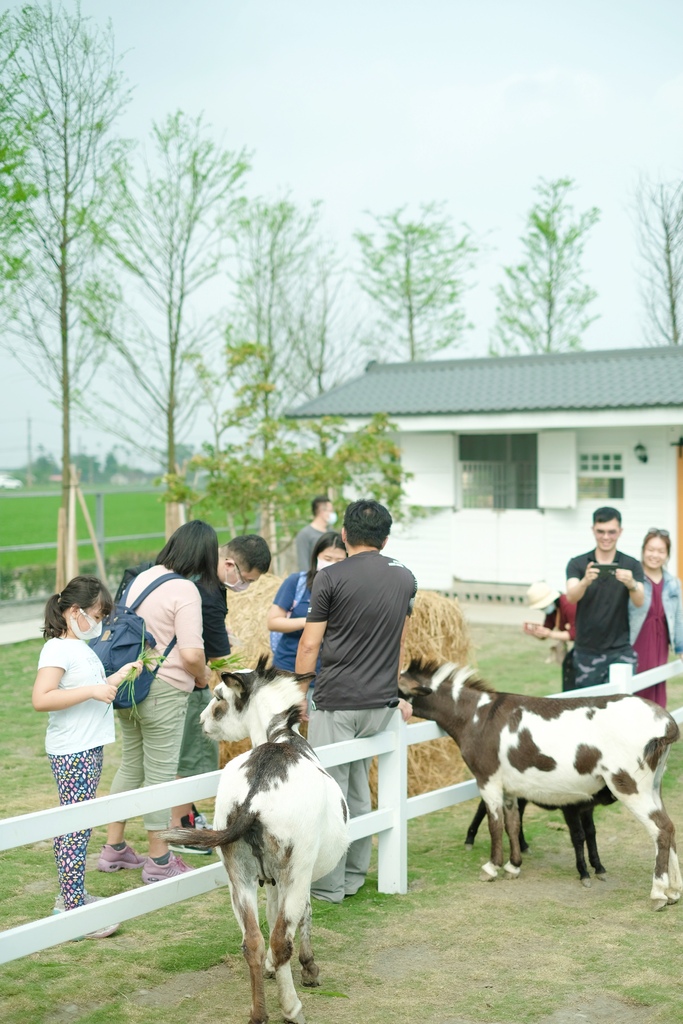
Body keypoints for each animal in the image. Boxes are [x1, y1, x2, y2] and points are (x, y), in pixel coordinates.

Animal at [163, 659, 350, 1019]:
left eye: (218, 697)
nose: (202, 721)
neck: (281, 735)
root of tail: (255, 795)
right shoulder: (297, 876)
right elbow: (303, 916)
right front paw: (308, 969)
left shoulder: (272, 880)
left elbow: (270, 913)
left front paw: (272, 970)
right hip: (294, 870)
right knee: (280, 940)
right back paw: (291, 1008)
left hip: (239, 877)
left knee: (253, 941)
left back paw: (259, 1012)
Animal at [397, 659, 679, 909]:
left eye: (396, 690)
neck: (478, 716)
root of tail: (665, 721)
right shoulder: (510, 789)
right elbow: (512, 824)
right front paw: (513, 865)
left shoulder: (487, 780)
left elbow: (494, 824)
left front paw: (492, 866)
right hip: (653, 787)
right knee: (671, 827)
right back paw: (674, 891)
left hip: (628, 786)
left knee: (660, 830)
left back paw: (658, 893)